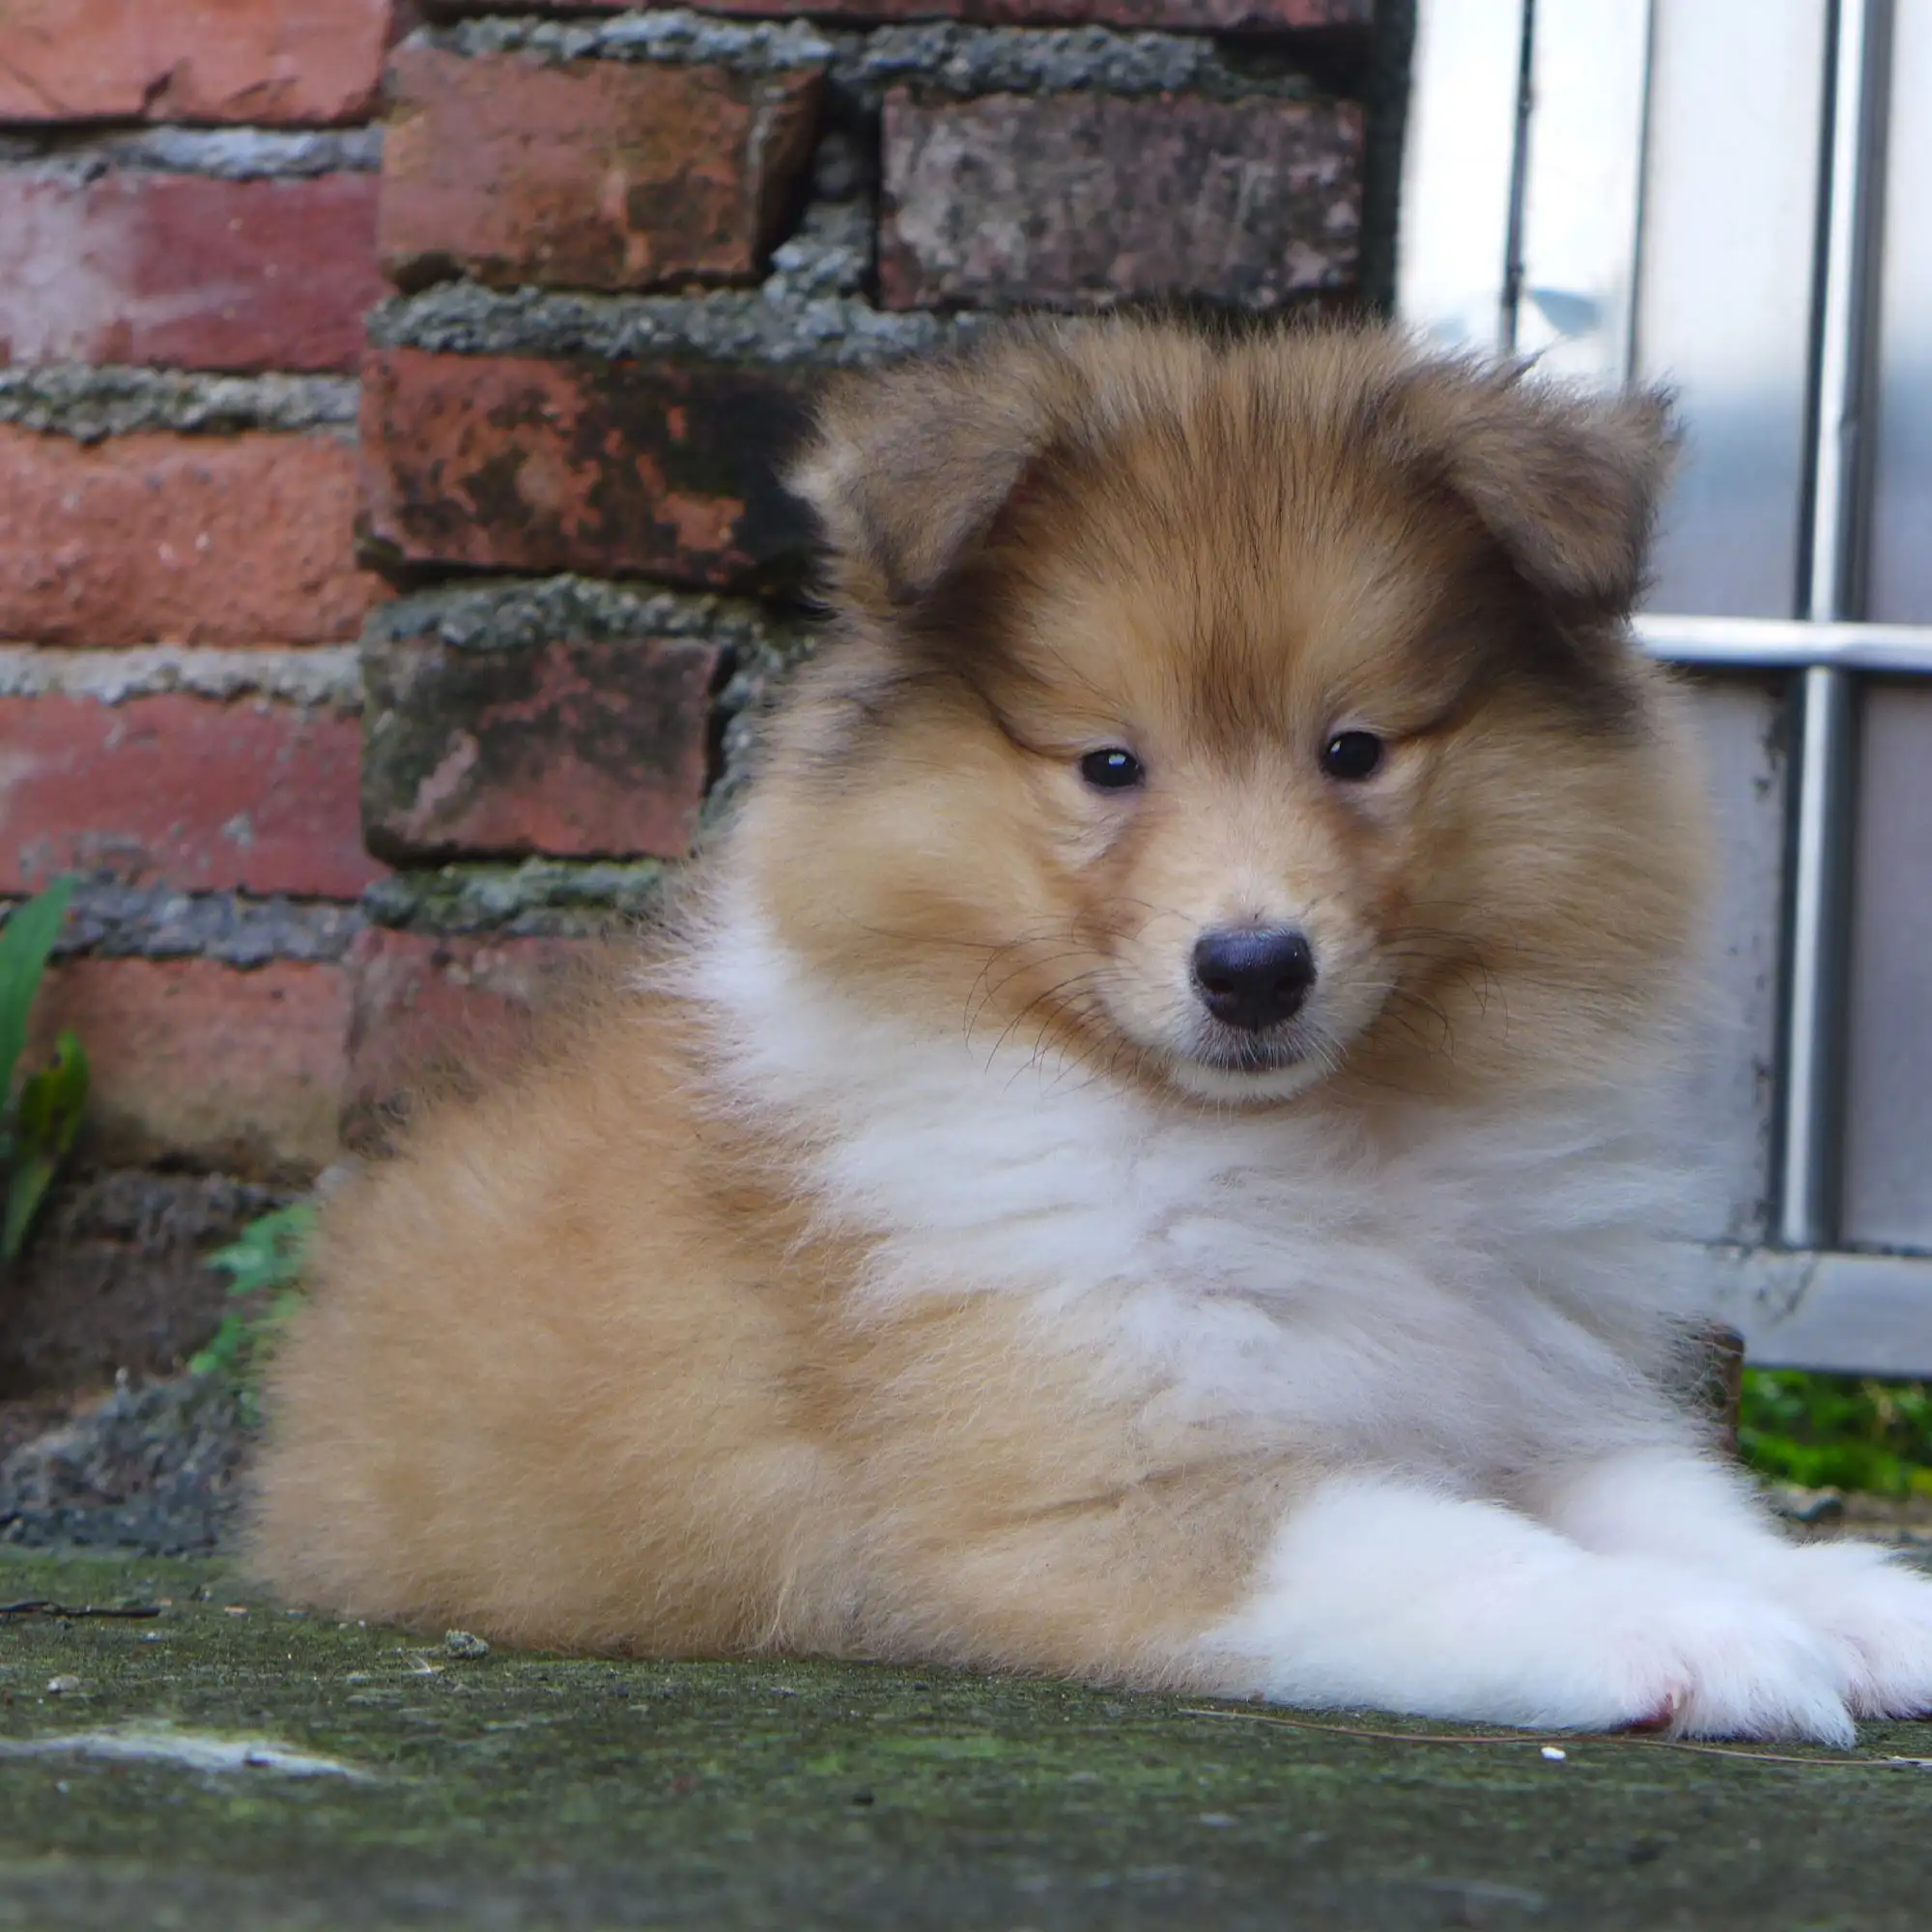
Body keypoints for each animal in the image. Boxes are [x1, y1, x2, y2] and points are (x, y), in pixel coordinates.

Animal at [253, 317, 1932, 1739]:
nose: (1253, 969)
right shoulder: (1095, 1496)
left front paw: (1844, 1607)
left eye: (1356, 749)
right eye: (1108, 764)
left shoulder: (1532, 1395)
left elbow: (1683, 1506)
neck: (1300, 1144)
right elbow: (1454, 1550)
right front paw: (1694, 1637)